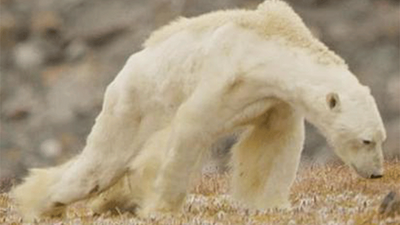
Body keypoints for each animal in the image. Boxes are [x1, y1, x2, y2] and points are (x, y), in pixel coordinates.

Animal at [14, 0, 386, 221]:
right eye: (366, 140)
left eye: (381, 138)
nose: (377, 174)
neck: (270, 45)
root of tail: (124, 70)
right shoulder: (225, 74)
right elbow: (190, 129)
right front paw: (161, 209)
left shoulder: (273, 99)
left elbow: (273, 144)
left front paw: (272, 204)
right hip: (132, 105)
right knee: (99, 166)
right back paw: (44, 203)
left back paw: (107, 202)